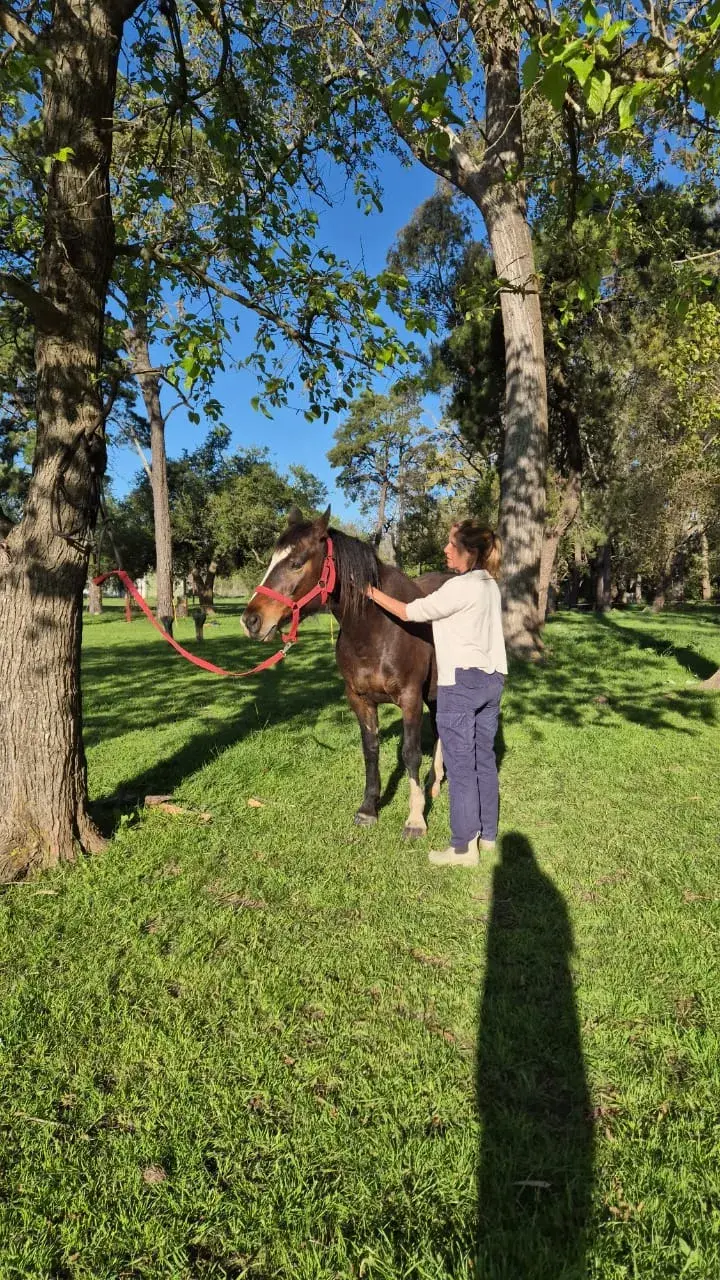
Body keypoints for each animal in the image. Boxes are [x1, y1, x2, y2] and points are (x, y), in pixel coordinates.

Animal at [241, 506, 447, 839]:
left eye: (296, 563)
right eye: (272, 559)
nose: (251, 621)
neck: (378, 629)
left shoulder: (411, 698)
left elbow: (410, 753)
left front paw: (415, 818)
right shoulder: (360, 699)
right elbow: (371, 750)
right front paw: (369, 808)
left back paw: (435, 783)